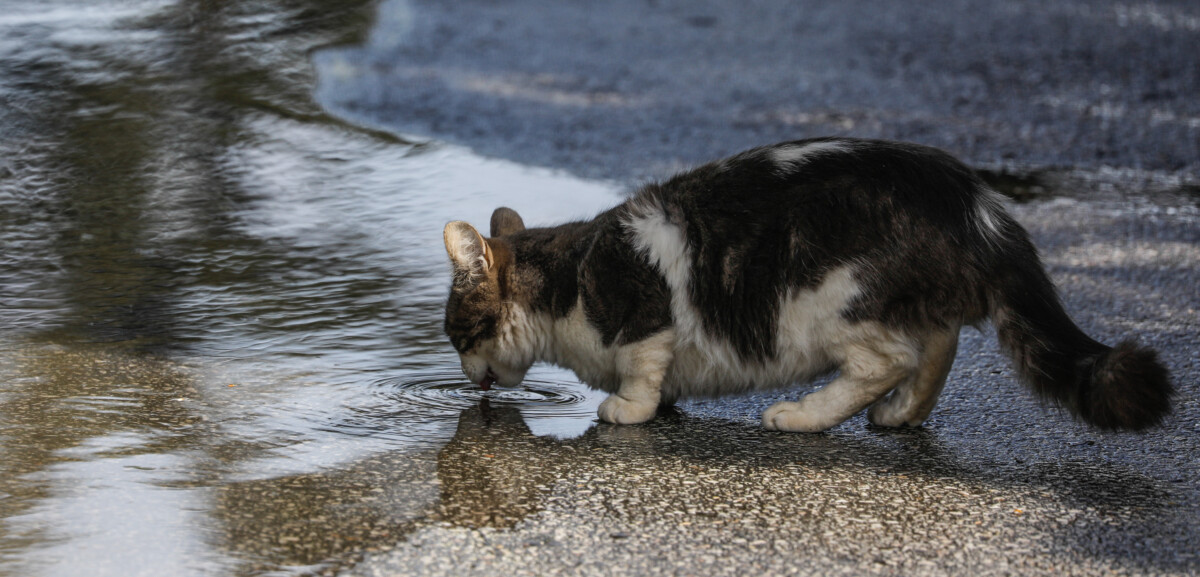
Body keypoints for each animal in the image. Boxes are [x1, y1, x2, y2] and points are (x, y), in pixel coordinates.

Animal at [441, 137, 1171, 429]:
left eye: (455, 336)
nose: (467, 377)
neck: (568, 277)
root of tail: (976, 203)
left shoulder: (645, 316)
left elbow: (643, 372)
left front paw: (628, 408)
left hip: (829, 300)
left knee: (890, 359)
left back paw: (802, 415)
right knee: (940, 345)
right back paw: (903, 416)